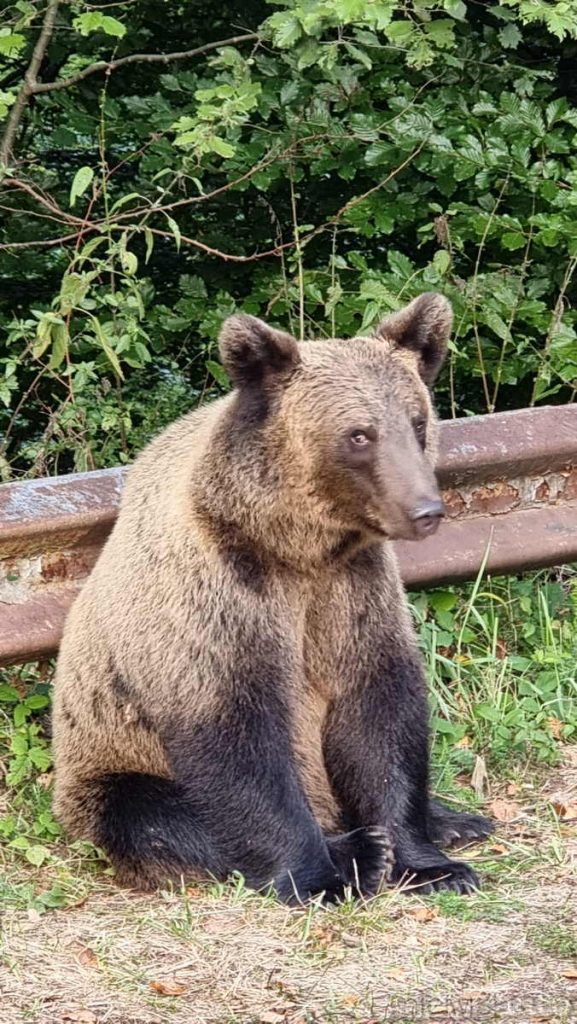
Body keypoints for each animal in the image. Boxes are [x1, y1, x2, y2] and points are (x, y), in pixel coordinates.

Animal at [50, 292, 491, 901]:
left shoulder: (352, 590)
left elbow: (379, 713)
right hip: (105, 766)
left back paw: (457, 820)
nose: (426, 510)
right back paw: (352, 844)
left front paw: (431, 863)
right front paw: (328, 871)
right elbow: (239, 744)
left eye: (418, 420)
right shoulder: (216, 599)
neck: (296, 548)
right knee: (153, 816)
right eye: (359, 434)